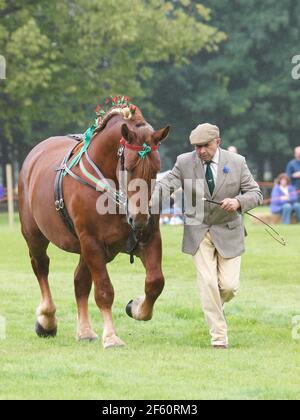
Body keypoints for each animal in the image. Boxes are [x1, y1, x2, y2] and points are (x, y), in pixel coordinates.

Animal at [18, 104, 170, 348]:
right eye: (129, 167)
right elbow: (104, 291)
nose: (138, 219)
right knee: (41, 266)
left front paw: (137, 307)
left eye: (156, 169)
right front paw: (111, 336)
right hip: (35, 236)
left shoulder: (148, 238)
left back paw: (85, 330)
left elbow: (155, 282)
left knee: (80, 281)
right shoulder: (92, 241)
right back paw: (47, 320)